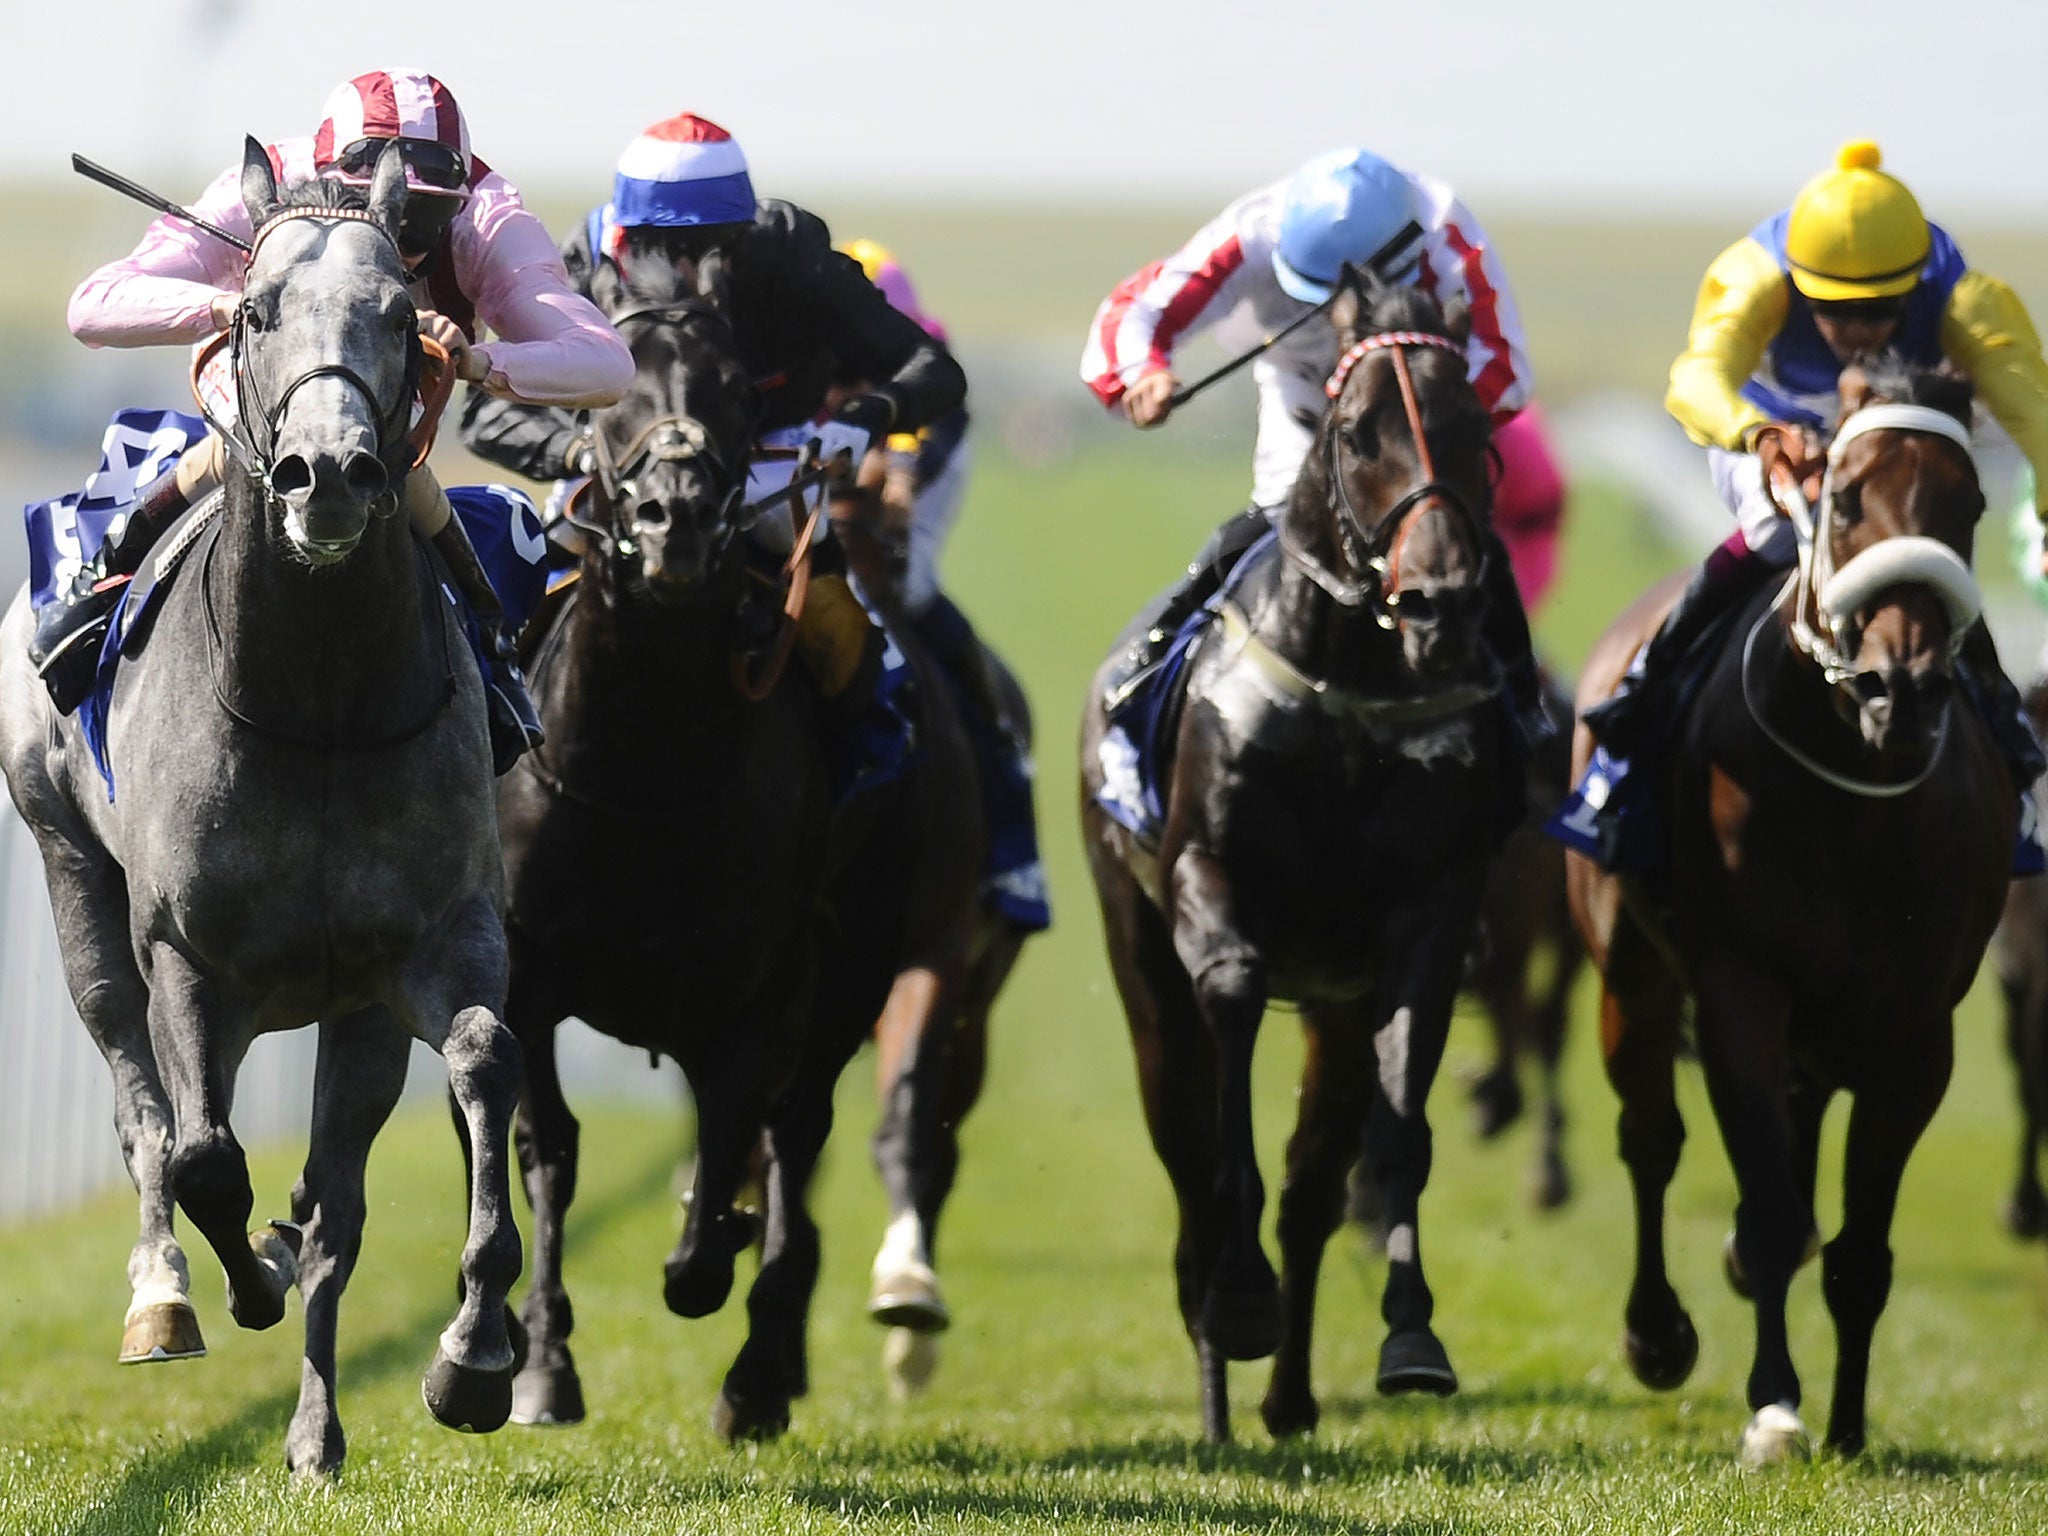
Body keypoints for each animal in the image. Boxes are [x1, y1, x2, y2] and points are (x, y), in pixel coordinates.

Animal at [0, 141, 520, 1482]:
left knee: (336, 1205)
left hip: (351, 1017)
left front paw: (473, 1358)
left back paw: (314, 1432)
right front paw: (237, 1278)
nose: (327, 474)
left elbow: (481, 1064)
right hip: (75, 886)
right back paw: (163, 1295)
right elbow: (201, 1158)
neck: (318, 701)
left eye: (402, 315)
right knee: (144, 1114)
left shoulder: (429, 945)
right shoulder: (187, 955)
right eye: (251, 313)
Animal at [491, 256, 978, 1441]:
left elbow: (726, 1164)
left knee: (798, 1129)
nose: (672, 519)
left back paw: (762, 1368)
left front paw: (708, 1281)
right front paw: (541, 1363)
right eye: (608, 391)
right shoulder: (526, 973)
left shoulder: (756, 988)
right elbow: (549, 1149)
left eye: (734, 390)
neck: (643, 776)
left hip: (865, 959)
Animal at [1081, 276, 1515, 1441]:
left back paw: (1284, 1399)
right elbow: (1228, 1029)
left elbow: (1396, 1121)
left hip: (1331, 1004)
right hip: (1138, 961)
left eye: (1476, 426)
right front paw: (1236, 1298)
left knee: (1312, 1184)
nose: (1439, 601)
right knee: (1186, 1155)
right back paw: (1219, 1389)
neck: (1350, 691)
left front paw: (1412, 1334)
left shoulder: (1424, 921)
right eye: (1357, 429)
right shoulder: (1207, 880)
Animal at [1572, 360, 2007, 1466]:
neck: (1855, 798)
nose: (1902, 687)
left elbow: (1858, 1246)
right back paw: (1657, 1333)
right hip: (1631, 973)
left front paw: (1848, 1423)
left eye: (1970, 506)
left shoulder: (1915, 1032)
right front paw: (1774, 1408)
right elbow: (1769, 1209)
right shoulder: (1740, 990)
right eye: (1844, 498)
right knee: (1650, 1137)